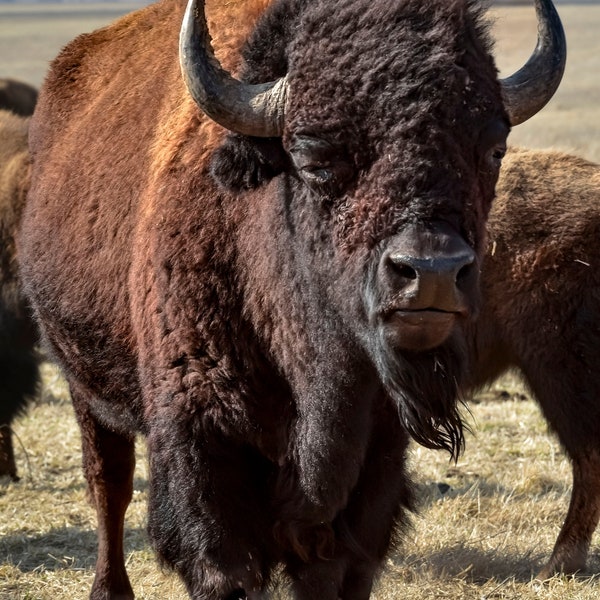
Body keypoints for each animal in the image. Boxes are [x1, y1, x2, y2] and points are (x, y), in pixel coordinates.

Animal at [17, 0, 564, 596]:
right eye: (315, 160)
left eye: (493, 149)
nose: (433, 271)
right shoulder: (200, 441)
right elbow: (221, 560)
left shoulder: (374, 462)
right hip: (82, 380)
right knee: (108, 482)